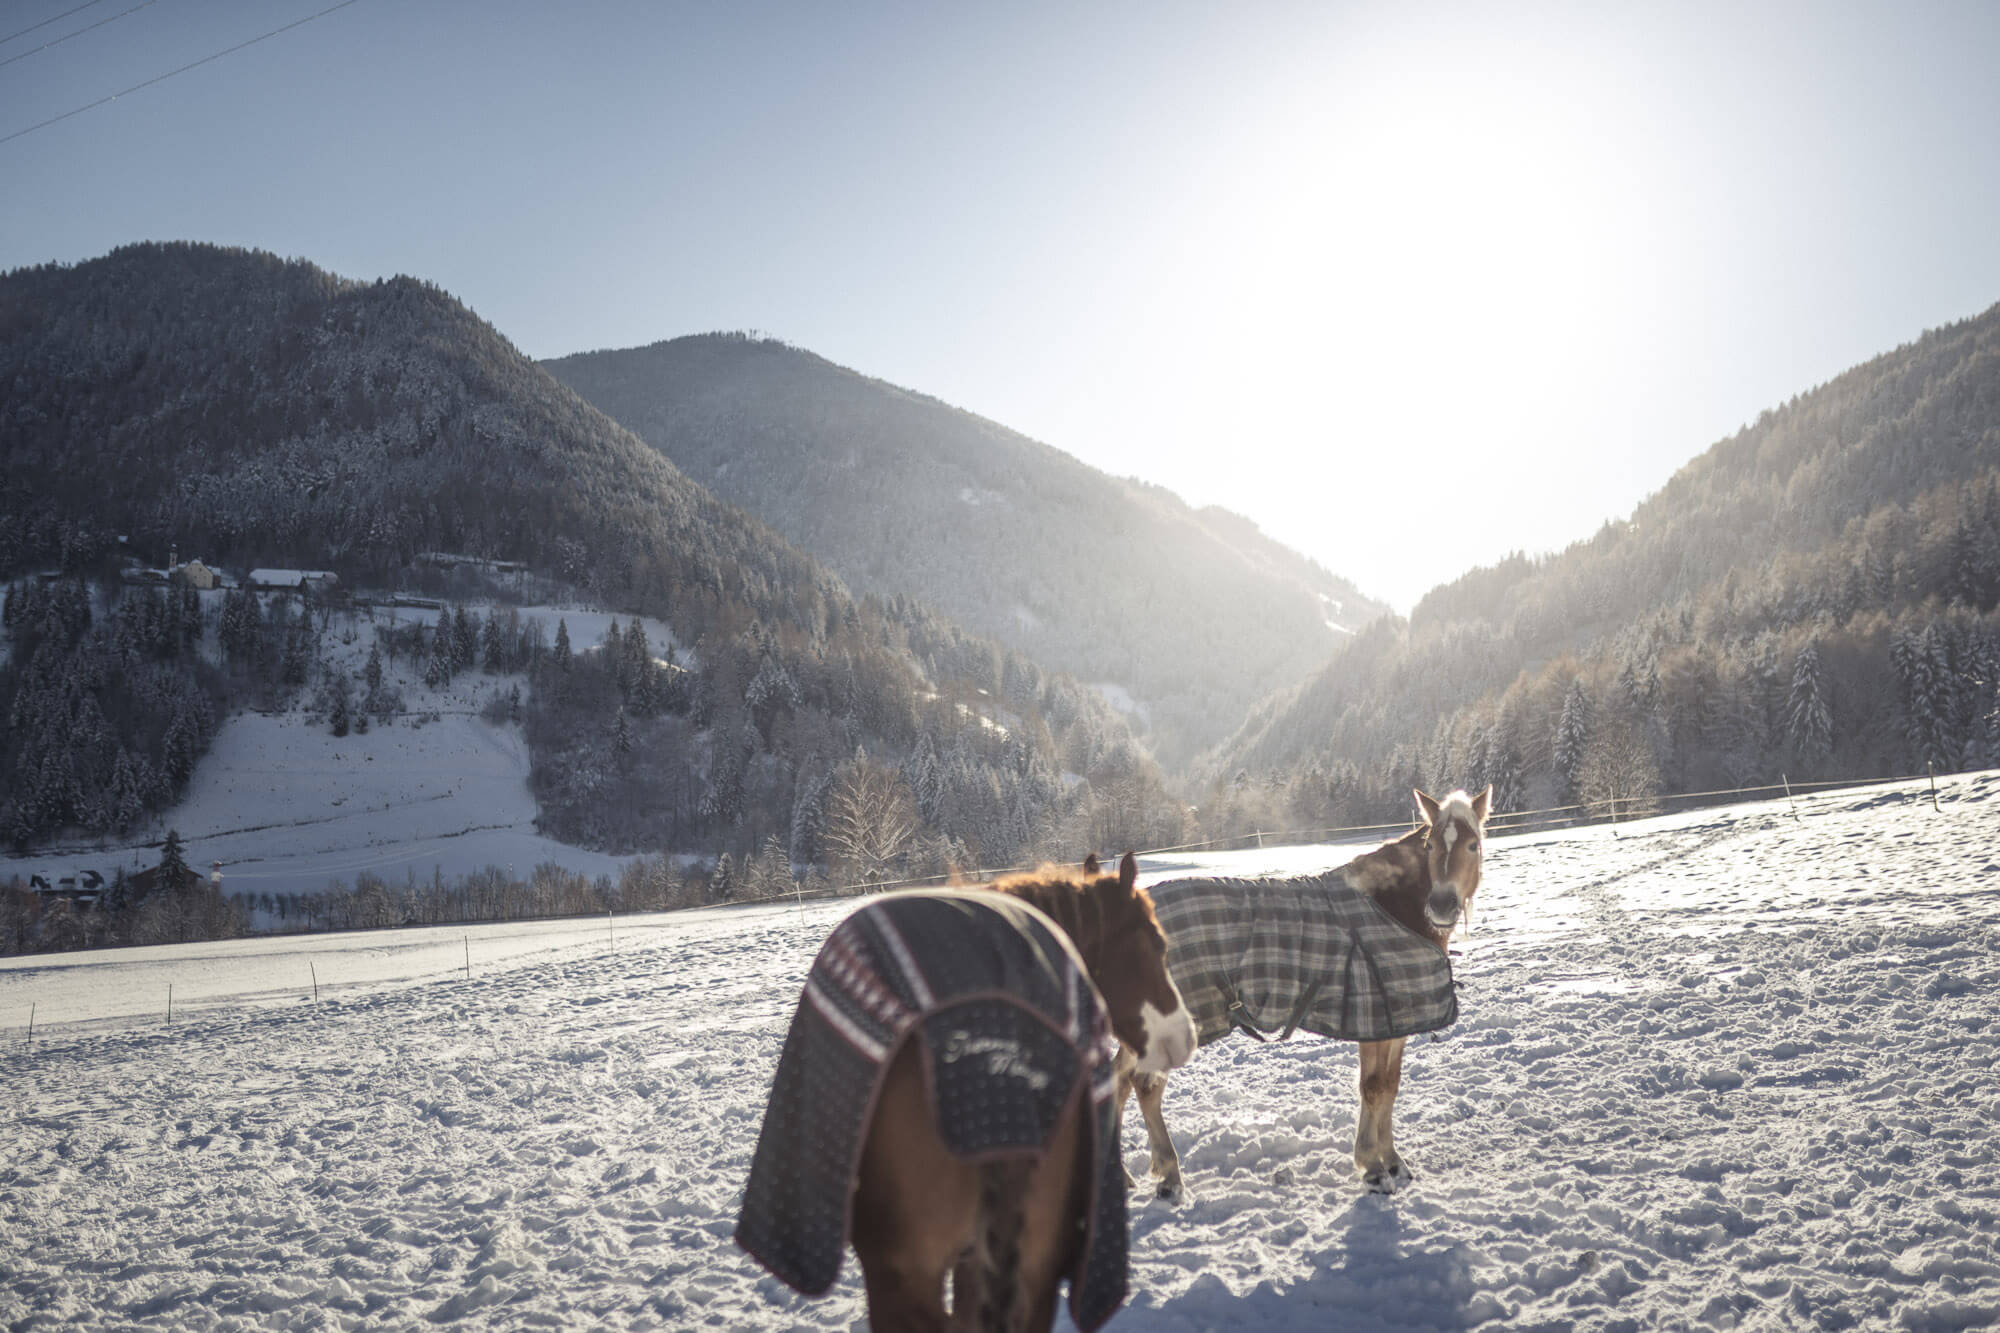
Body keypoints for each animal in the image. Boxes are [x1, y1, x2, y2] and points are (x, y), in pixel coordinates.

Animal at [1120, 784, 1496, 1200]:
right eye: (1430, 846)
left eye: (1473, 845)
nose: (1442, 905)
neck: (1391, 907)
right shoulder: (1373, 1020)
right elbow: (1373, 1088)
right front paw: (1373, 1168)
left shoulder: (1394, 1021)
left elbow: (1390, 1086)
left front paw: (1393, 1162)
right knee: (1145, 1086)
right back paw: (1169, 1176)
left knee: (1118, 1083)